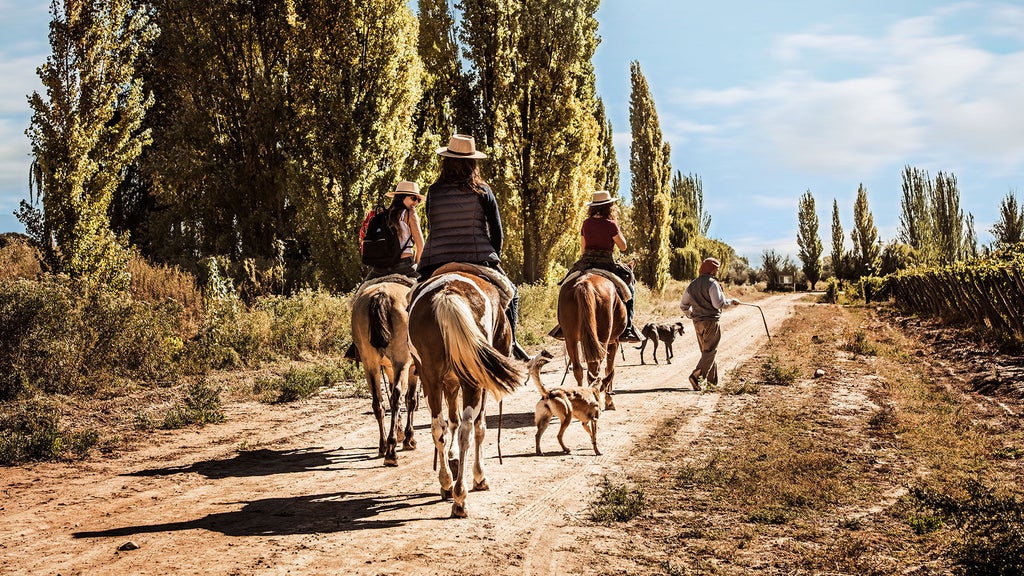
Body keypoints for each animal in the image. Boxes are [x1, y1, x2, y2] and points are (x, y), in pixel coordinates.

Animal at [350, 274, 417, 467]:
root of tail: (381, 295)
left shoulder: (388, 367)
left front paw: (401, 432)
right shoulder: (411, 367)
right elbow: (410, 399)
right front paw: (408, 438)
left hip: (370, 364)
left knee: (378, 402)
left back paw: (384, 445)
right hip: (401, 362)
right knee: (396, 397)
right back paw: (392, 451)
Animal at [405, 262, 524, 518]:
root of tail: (447, 292)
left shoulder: (449, 382)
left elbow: (451, 421)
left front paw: (452, 461)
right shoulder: (480, 382)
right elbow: (480, 427)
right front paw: (480, 477)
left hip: (430, 377)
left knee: (438, 428)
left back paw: (447, 483)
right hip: (472, 379)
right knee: (468, 430)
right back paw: (460, 497)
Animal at [557, 270, 626, 407]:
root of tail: (585, 282)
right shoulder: (613, 342)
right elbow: (610, 369)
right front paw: (609, 396)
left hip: (570, 339)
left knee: (578, 369)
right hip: (602, 339)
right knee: (595, 369)